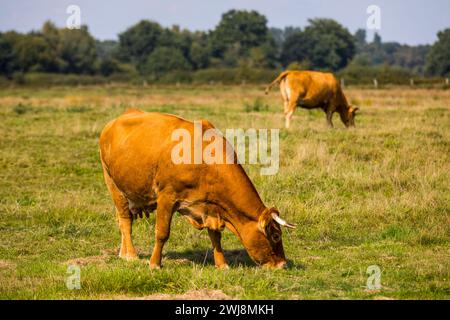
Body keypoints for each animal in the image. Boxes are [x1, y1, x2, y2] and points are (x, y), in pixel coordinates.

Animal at [99, 109, 296, 268]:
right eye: (276, 235)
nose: (283, 264)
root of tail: (113, 122)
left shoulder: (211, 207)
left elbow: (215, 236)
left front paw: (222, 265)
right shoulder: (167, 197)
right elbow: (162, 233)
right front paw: (155, 264)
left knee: (122, 220)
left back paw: (123, 253)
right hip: (113, 185)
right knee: (126, 221)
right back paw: (131, 255)